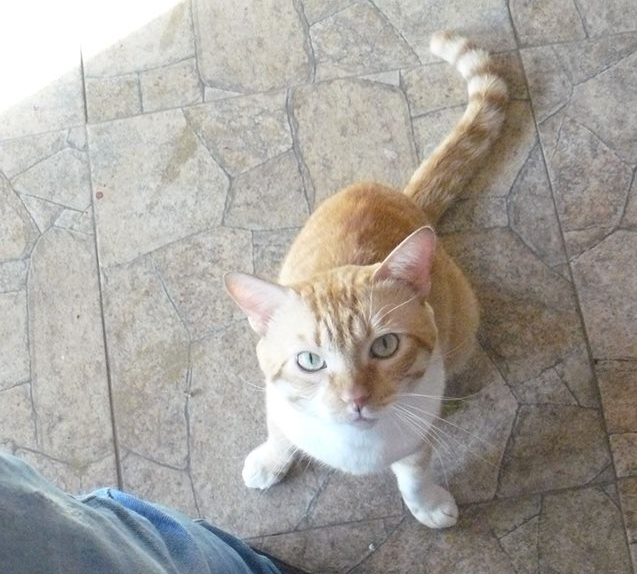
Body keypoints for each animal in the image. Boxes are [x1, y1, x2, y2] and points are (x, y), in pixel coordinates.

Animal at [224, 31, 507, 529]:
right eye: (310, 361)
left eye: (385, 346)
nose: (355, 399)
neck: (354, 447)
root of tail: (401, 195)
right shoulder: (278, 401)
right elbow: (279, 431)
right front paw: (270, 460)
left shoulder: (416, 440)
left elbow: (414, 476)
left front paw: (428, 505)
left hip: (463, 325)